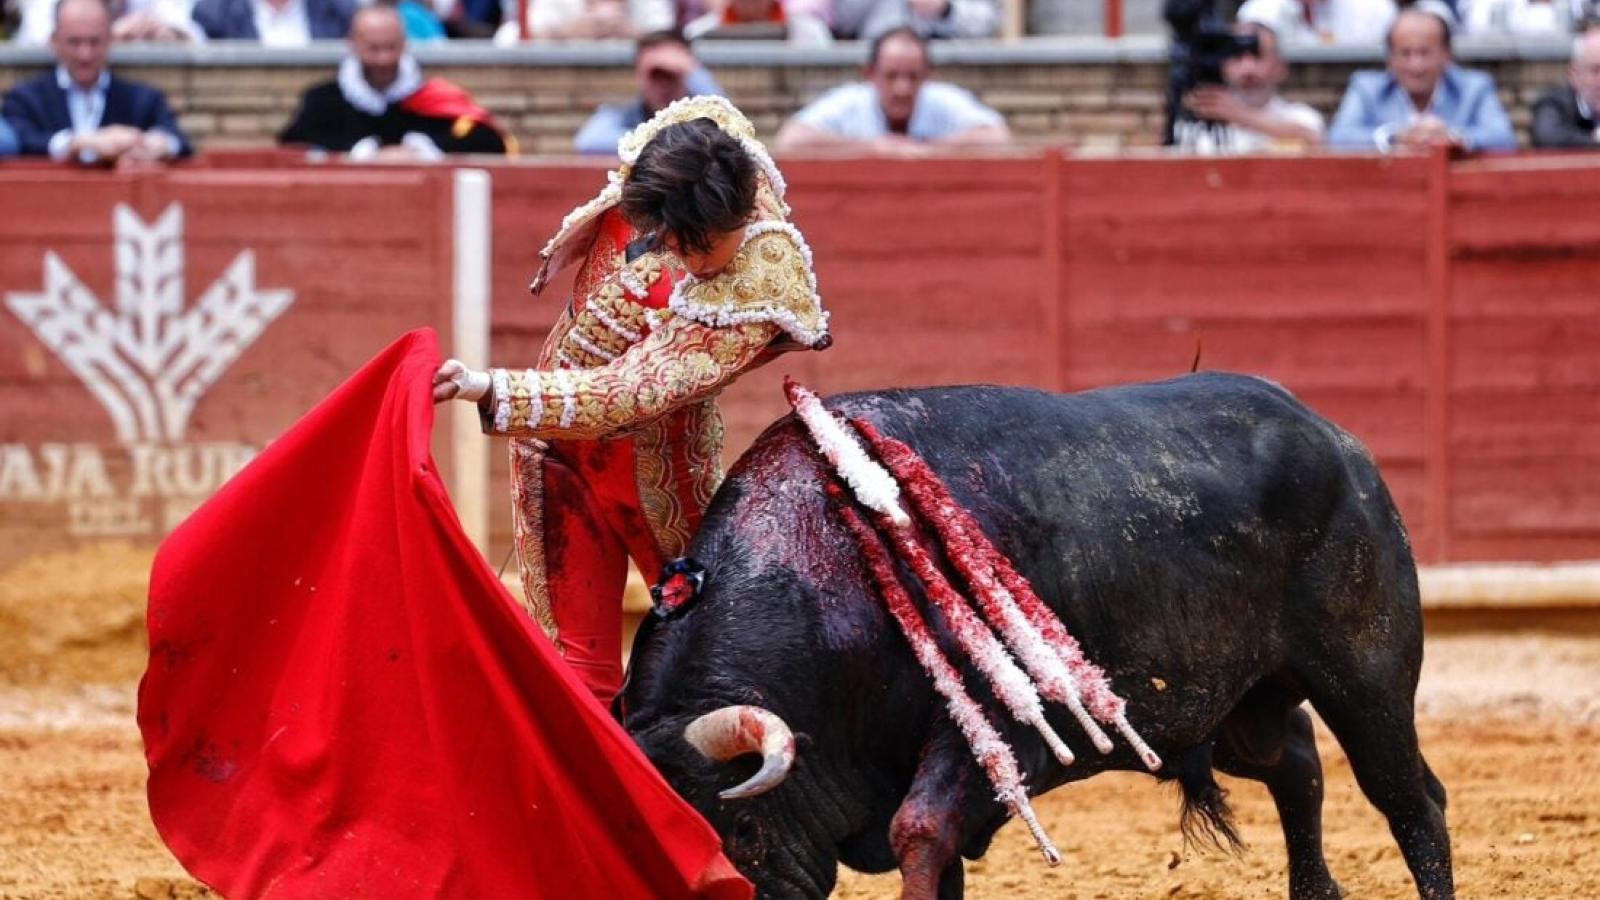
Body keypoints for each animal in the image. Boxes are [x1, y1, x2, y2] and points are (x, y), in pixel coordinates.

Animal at [617, 373, 1459, 896]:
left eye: (744, 828)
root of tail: (1337, 440)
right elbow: (937, 855)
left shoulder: (991, 729)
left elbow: (919, 831)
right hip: (1228, 709)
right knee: (1297, 764)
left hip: (1367, 679)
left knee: (1410, 798)